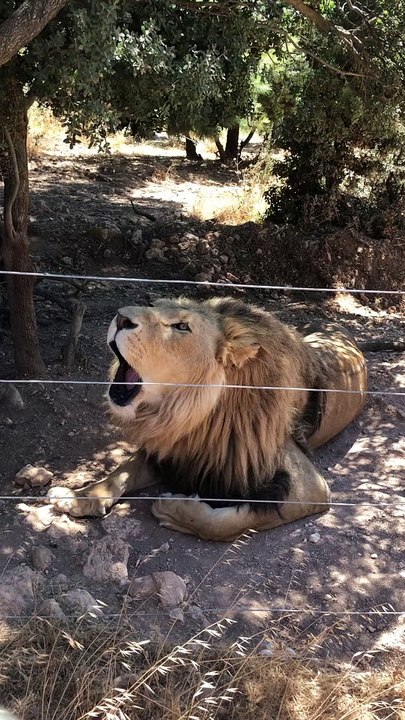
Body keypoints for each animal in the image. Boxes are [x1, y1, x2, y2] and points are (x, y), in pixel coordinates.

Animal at [49, 297, 367, 541]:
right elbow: (119, 473)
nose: (121, 317)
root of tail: (335, 324)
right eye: (152, 305)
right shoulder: (173, 448)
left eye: (181, 326)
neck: (195, 416)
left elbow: (227, 523)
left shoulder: (311, 487)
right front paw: (79, 496)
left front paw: (173, 511)